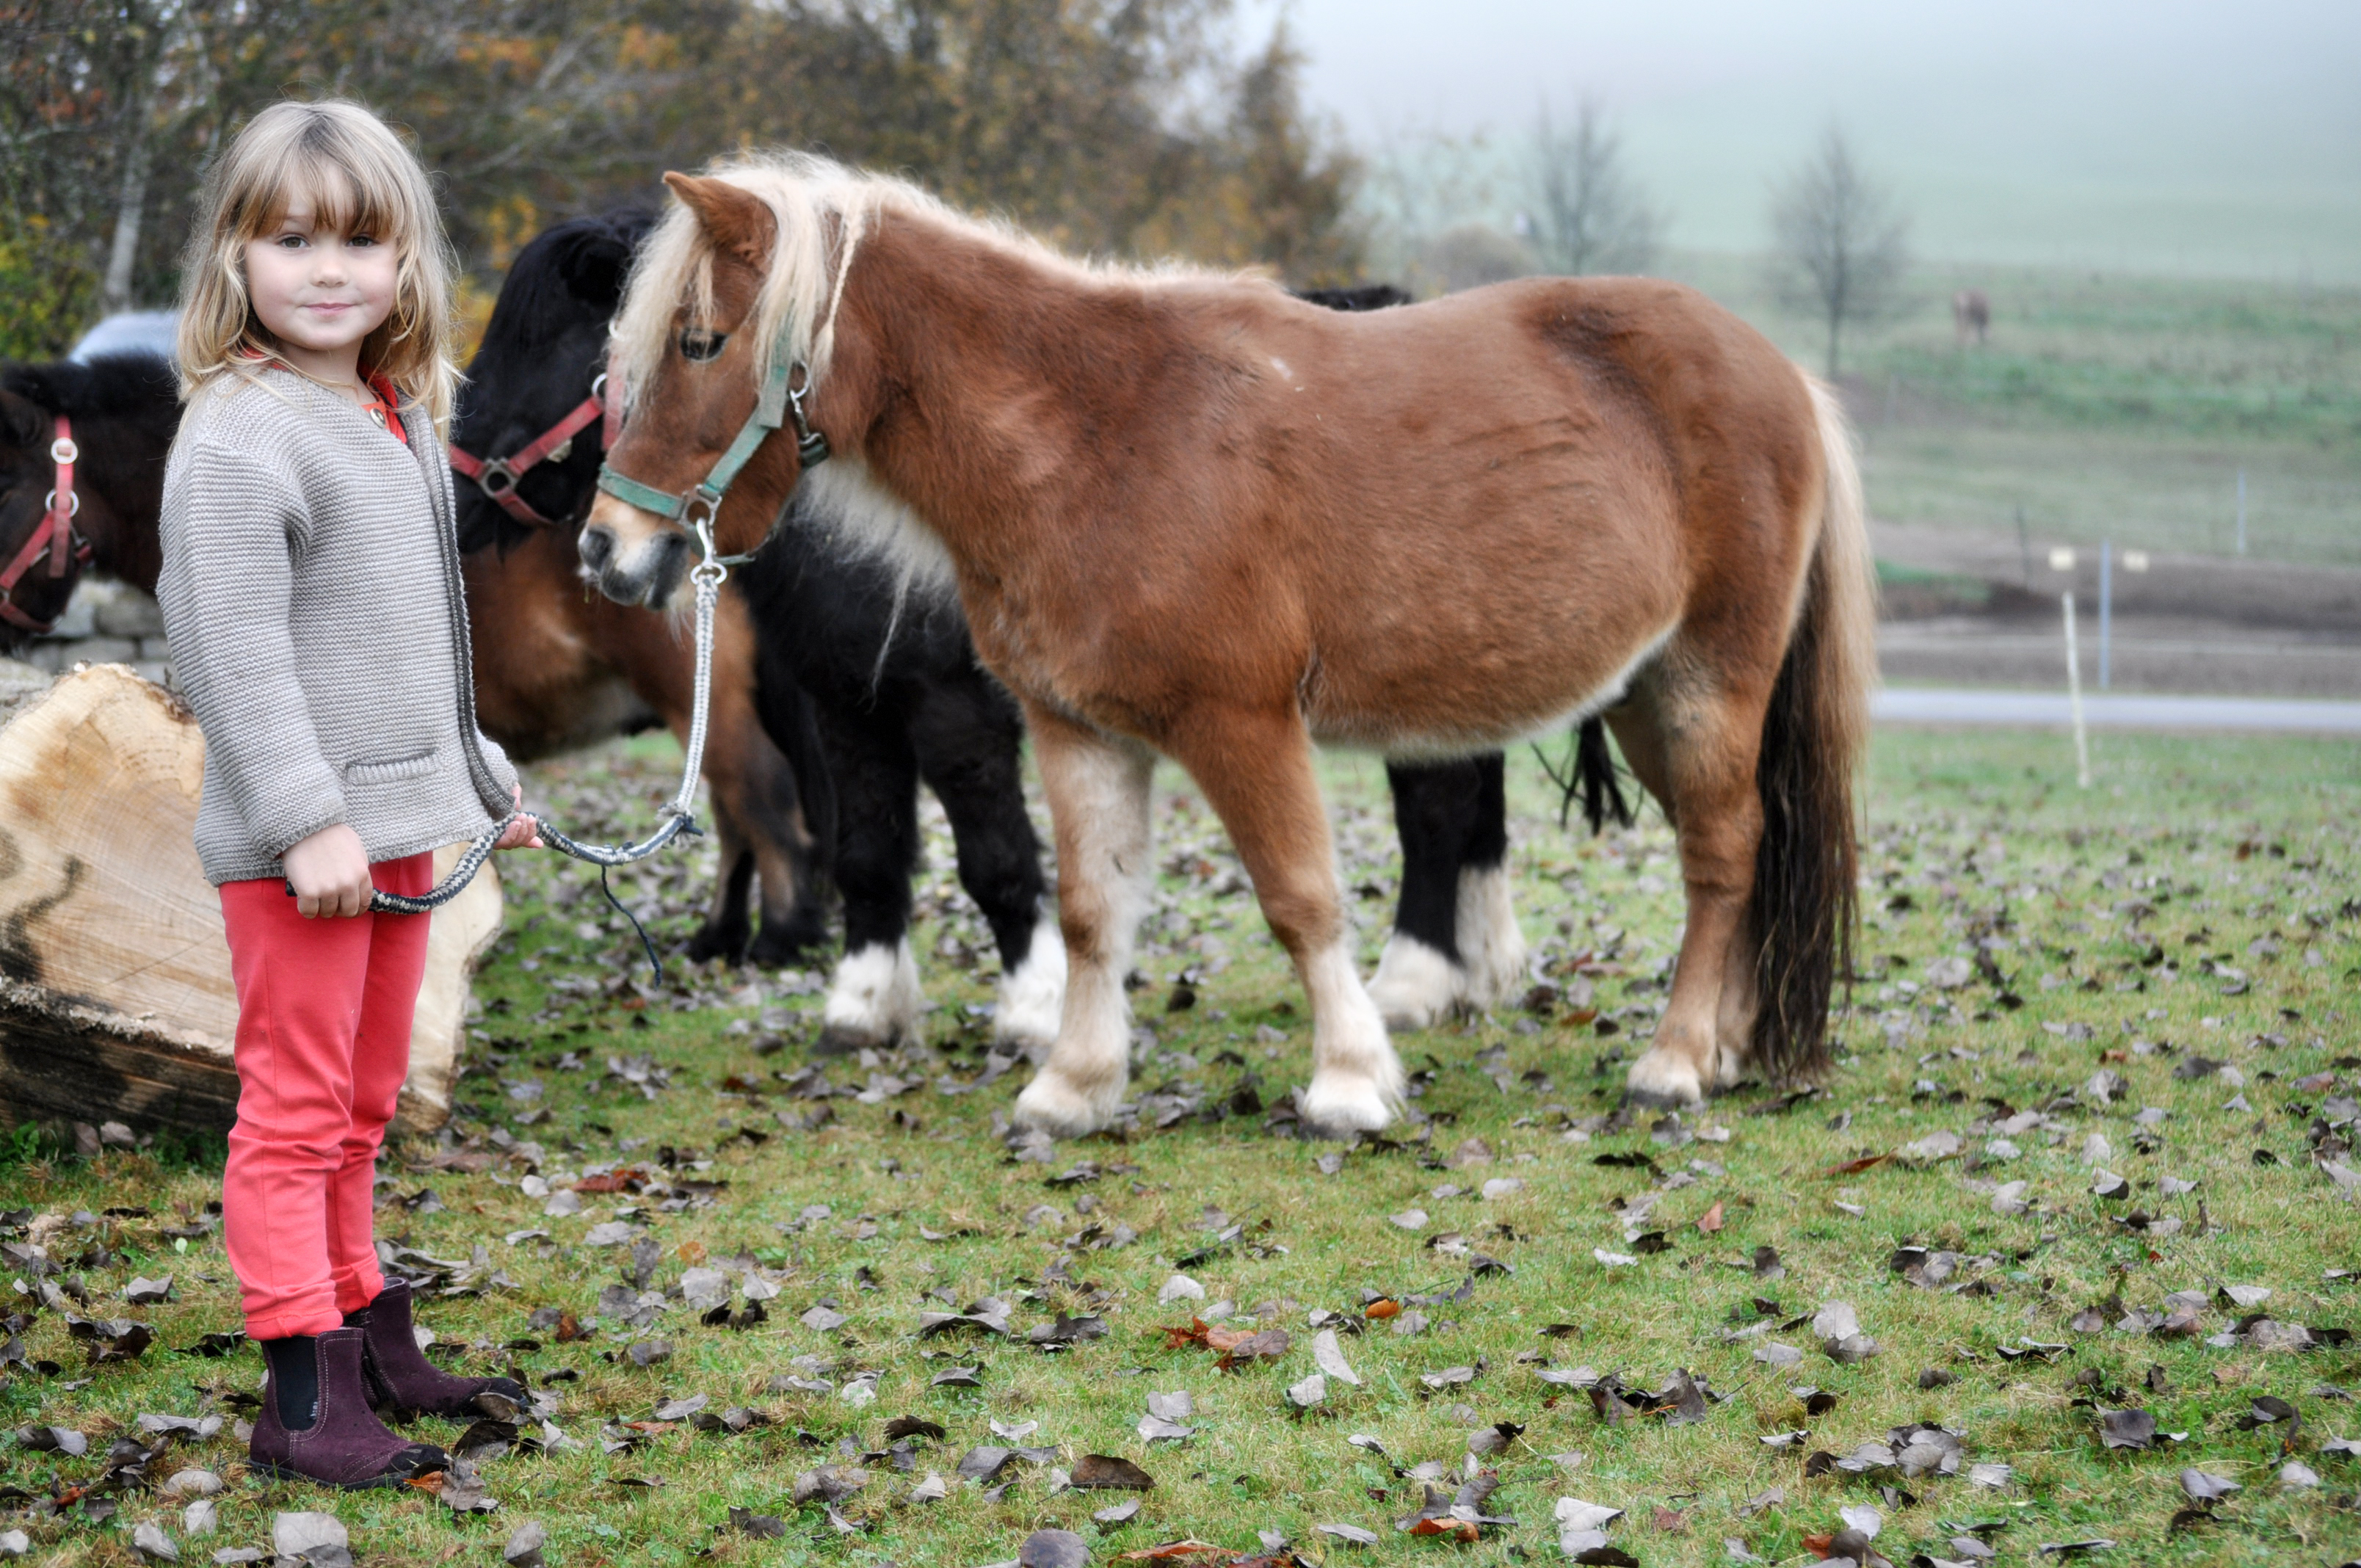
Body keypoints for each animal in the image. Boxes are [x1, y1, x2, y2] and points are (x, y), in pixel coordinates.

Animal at [581, 153, 1870, 1133]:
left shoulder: (1239, 724)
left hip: (1710, 682)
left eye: (699, 343)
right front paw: (1074, 1088)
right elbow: (1093, 912)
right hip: (1647, 697)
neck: (1096, 437)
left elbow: (1300, 899)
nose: (606, 551)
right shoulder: (1078, 731)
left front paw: (1350, 1084)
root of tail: (1785, 376)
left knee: (1722, 858)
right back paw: (1727, 1044)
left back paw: (1674, 1062)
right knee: (1740, 848)